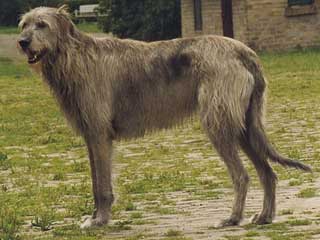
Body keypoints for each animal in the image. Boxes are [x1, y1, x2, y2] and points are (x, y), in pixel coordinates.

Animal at [18, 5, 312, 227]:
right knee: (268, 173)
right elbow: (94, 182)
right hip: (244, 127)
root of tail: (246, 51)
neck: (73, 57)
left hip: (219, 125)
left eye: (42, 24)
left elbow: (102, 186)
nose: (22, 42)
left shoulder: (99, 134)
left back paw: (232, 218)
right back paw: (264, 216)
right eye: (24, 24)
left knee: (242, 176)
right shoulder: (91, 136)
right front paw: (94, 218)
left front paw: (99, 220)